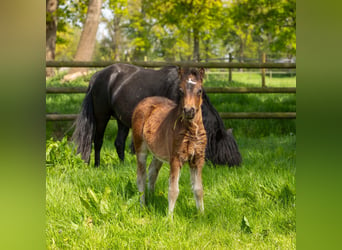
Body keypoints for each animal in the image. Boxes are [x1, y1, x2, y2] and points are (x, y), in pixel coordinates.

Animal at [73, 63, 242, 167]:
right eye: (225, 151)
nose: (236, 165)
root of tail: (98, 75)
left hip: (122, 120)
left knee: (119, 143)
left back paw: (123, 165)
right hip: (102, 116)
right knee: (98, 140)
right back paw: (97, 165)